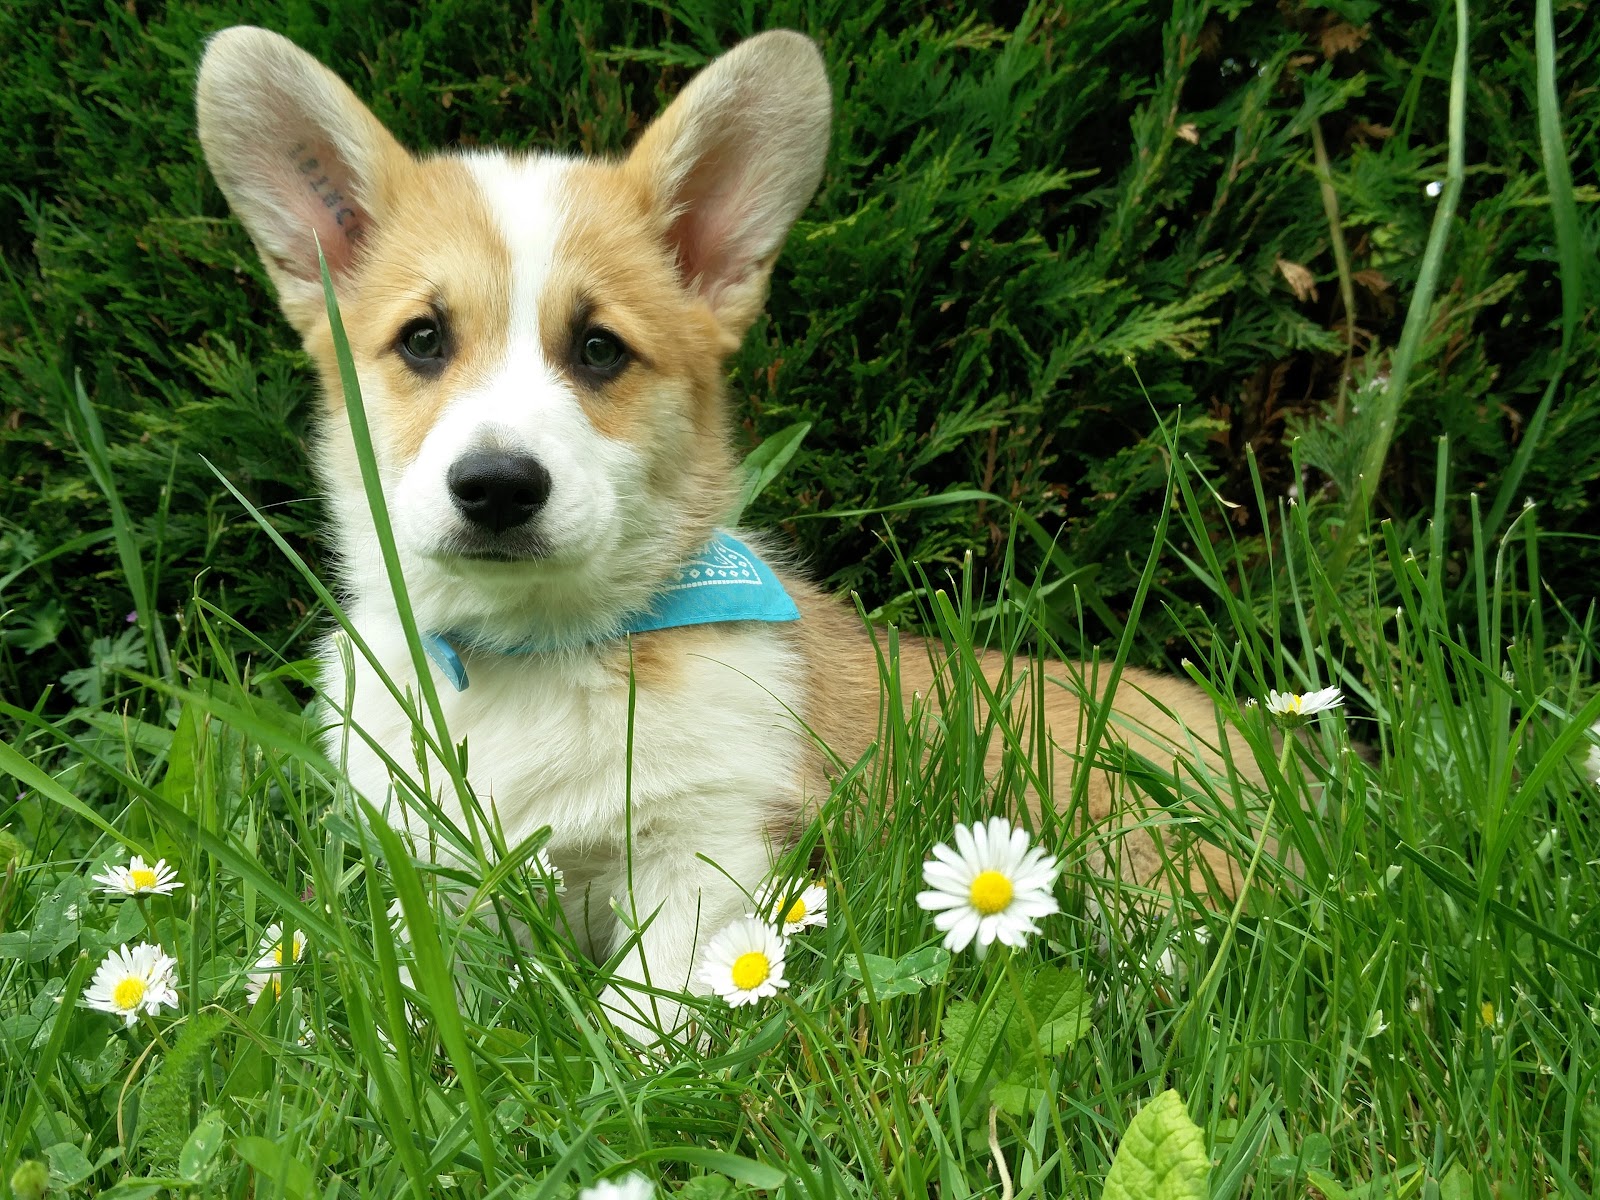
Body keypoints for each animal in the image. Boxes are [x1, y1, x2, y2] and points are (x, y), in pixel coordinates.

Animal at [196, 25, 1248, 1043]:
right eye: (423, 339)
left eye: (599, 349)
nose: (496, 487)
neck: (532, 653)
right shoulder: (434, 871)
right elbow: (417, 1002)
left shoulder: (708, 851)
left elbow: (645, 1019)